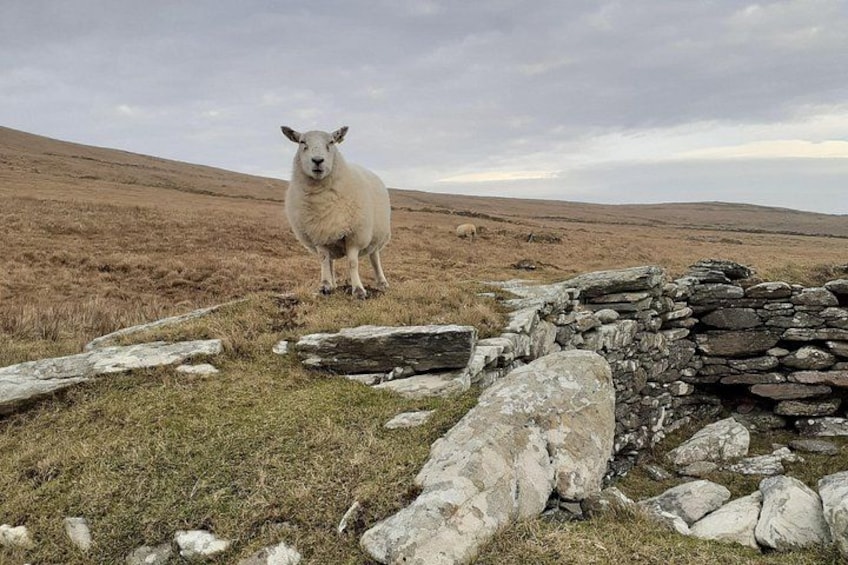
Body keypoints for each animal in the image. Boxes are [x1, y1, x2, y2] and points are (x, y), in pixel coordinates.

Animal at [281, 125, 391, 299]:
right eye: (302, 142)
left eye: (331, 142)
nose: (317, 160)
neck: (321, 201)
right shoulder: (318, 233)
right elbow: (323, 259)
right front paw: (325, 286)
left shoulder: (354, 235)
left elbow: (353, 263)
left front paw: (358, 290)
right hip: (329, 236)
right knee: (330, 261)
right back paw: (332, 283)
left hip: (376, 236)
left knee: (375, 257)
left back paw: (382, 282)